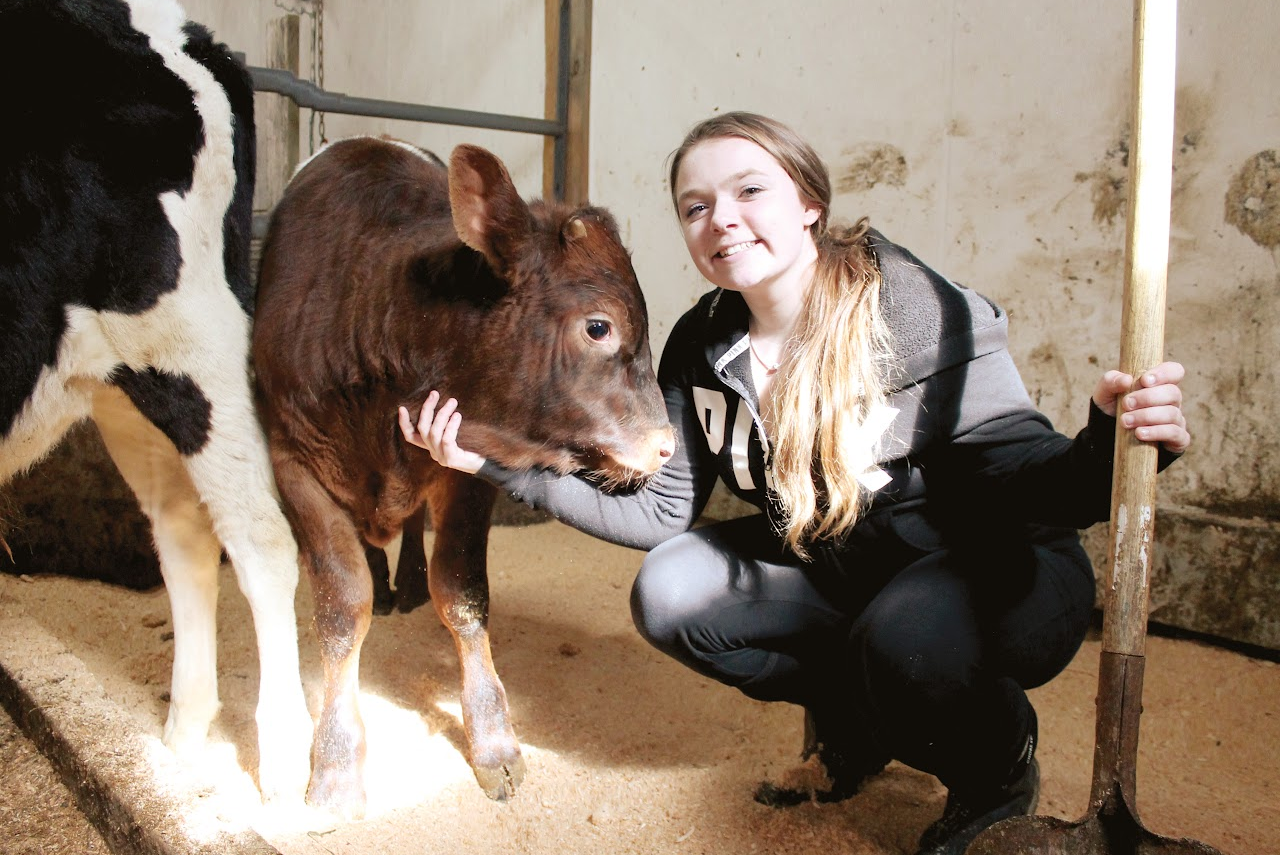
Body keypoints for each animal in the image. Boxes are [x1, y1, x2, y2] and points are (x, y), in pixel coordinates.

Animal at [0, 0, 309, 803]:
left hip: (187, 337)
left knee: (261, 538)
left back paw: (287, 768)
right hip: (116, 379)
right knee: (184, 527)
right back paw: (180, 741)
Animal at [247, 136, 670, 819]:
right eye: (598, 326)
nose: (665, 446)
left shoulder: (466, 467)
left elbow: (462, 592)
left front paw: (493, 742)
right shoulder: (291, 460)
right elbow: (340, 608)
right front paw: (335, 768)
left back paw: (407, 581)